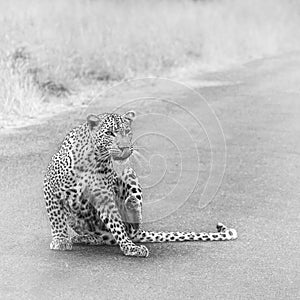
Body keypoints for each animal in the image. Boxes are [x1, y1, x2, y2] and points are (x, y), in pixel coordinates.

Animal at [44, 110, 237, 258]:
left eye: (127, 132)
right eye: (110, 133)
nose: (124, 147)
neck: (95, 158)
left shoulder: (105, 198)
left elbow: (117, 225)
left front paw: (129, 248)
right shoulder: (49, 187)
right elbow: (56, 218)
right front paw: (60, 239)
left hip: (128, 173)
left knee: (131, 228)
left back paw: (131, 206)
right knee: (101, 236)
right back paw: (83, 238)